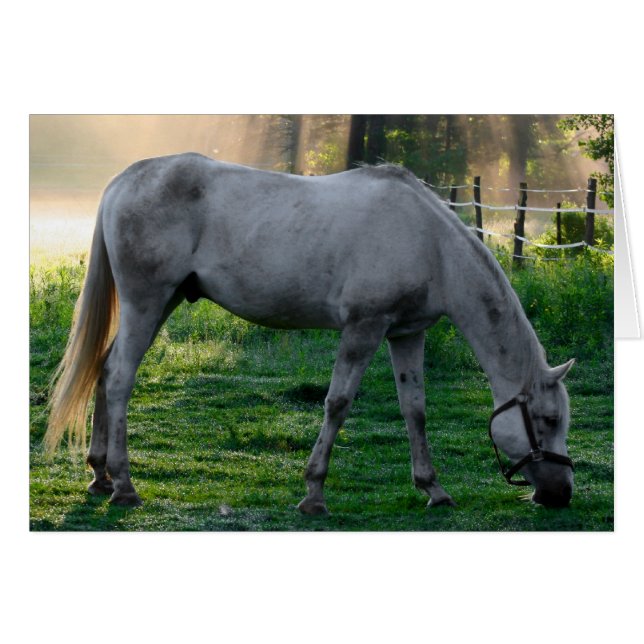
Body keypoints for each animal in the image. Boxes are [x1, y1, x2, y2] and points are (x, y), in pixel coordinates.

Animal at [46, 153, 575, 513]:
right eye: (548, 419)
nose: (560, 494)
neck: (431, 243)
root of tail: (125, 179)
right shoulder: (363, 327)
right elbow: (337, 404)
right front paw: (314, 493)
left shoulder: (406, 334)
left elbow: (415, 410)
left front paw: (433, 488)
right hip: (147, 303)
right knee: (119, 378)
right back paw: (124, 485)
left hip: (162, 303)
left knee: (104, 369)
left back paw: (99, 475)